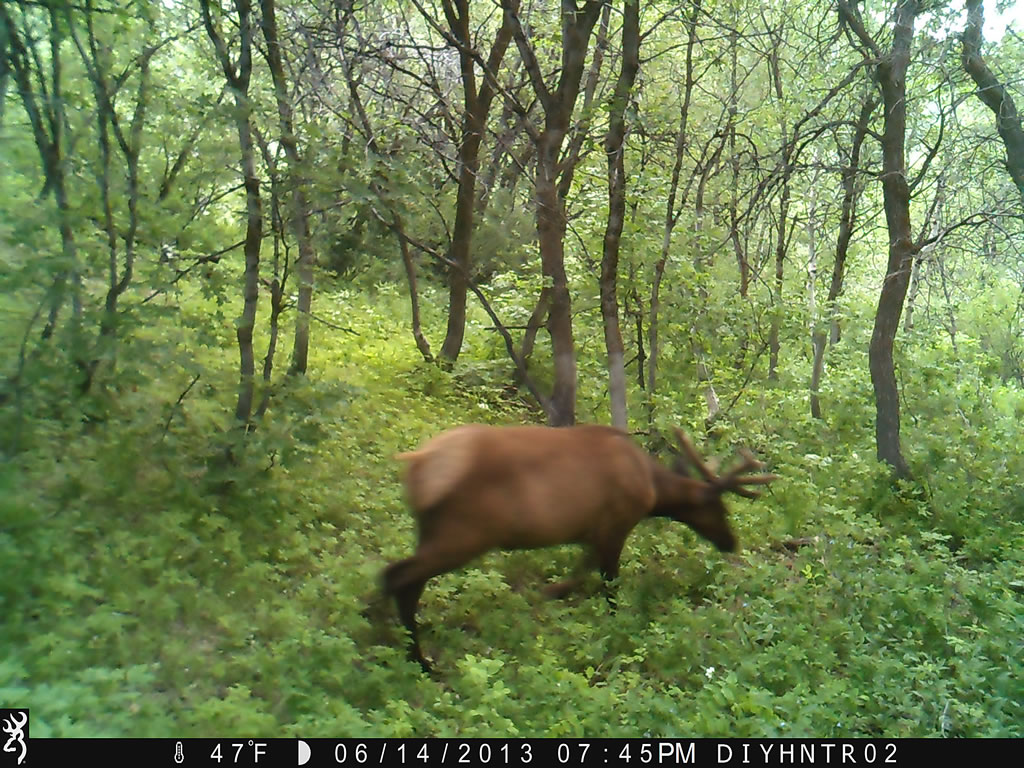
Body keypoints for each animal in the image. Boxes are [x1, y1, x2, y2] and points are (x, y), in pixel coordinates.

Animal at [379, 424, 776, 673]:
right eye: (721, 509)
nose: (731, 541)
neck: (651, 490)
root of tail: (418, 463)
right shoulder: (616, 523)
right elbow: (610, 585)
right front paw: (617, 631)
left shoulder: (592, 531)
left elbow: (579, 574)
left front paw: (549, 593)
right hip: (464, 533)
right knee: (397, 576)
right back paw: (417, 659)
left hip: (433, 531)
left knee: (405, 580)